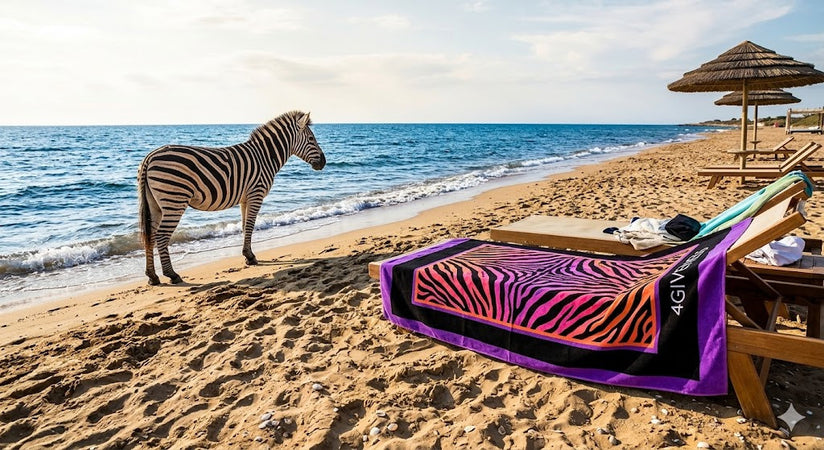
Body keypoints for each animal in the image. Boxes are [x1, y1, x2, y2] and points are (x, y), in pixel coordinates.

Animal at [137, 110, 326, 285]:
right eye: (311, 138)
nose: (323, 163)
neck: (264, 157)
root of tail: (149, 157)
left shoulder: (245, 198)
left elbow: (244, 226)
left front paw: (247, 255)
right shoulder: (256, 194)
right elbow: (250, 225)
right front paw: (250, 257)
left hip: (155, 204)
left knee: (150, 236)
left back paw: (152, 277)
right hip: (174, 199)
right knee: (161, 236)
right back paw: (172, 275)